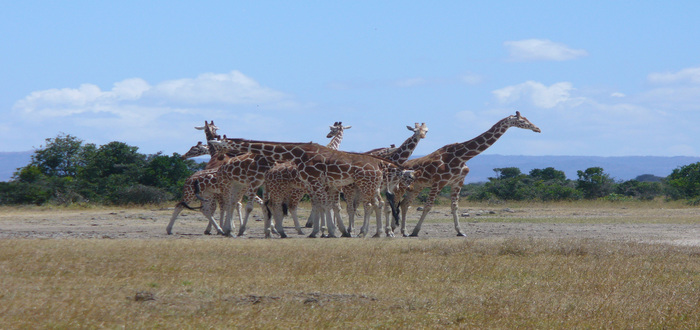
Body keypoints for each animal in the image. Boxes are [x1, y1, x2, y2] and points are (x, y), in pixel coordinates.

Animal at [211, 138, 412, 238]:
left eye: (219, 144)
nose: (218, 158)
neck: (298, 153)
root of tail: (379, 165)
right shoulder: (317, 183)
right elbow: (323, 206)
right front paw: (324, 231)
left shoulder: (315, 181)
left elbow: (323, 205)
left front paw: (327, 232)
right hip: (371, 185)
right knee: (379, 204)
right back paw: (379, 233)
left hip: (367, 185)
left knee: (376, 205)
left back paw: (377, 233)